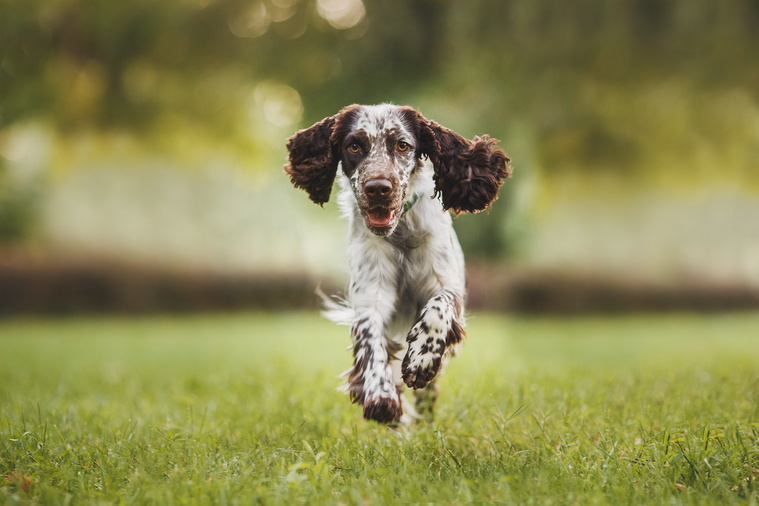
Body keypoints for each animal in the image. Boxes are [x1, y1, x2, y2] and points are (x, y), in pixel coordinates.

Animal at [284, 103, 510, 422]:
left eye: (403, 145)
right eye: (354, 146)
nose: (378, 187)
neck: (401, 234)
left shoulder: (449, 286)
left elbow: (438, 308)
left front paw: (421, 360)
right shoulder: (370, 299)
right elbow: (370, 341)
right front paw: (380, 395)